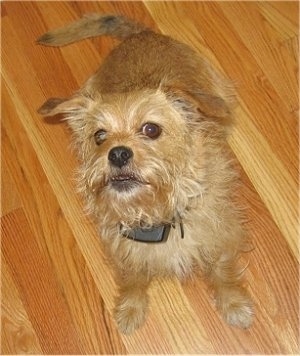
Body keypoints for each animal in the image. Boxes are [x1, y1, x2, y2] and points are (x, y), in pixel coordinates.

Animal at [37, 13, 253, 336]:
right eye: (99, 136)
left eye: (151, 129)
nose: (117, 154)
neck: (158, 215)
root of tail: (141, 35)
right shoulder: (124, 251)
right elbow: (132, 281)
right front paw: (130, 309)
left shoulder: (221, 239)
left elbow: (222, 273)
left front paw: (234, 304)